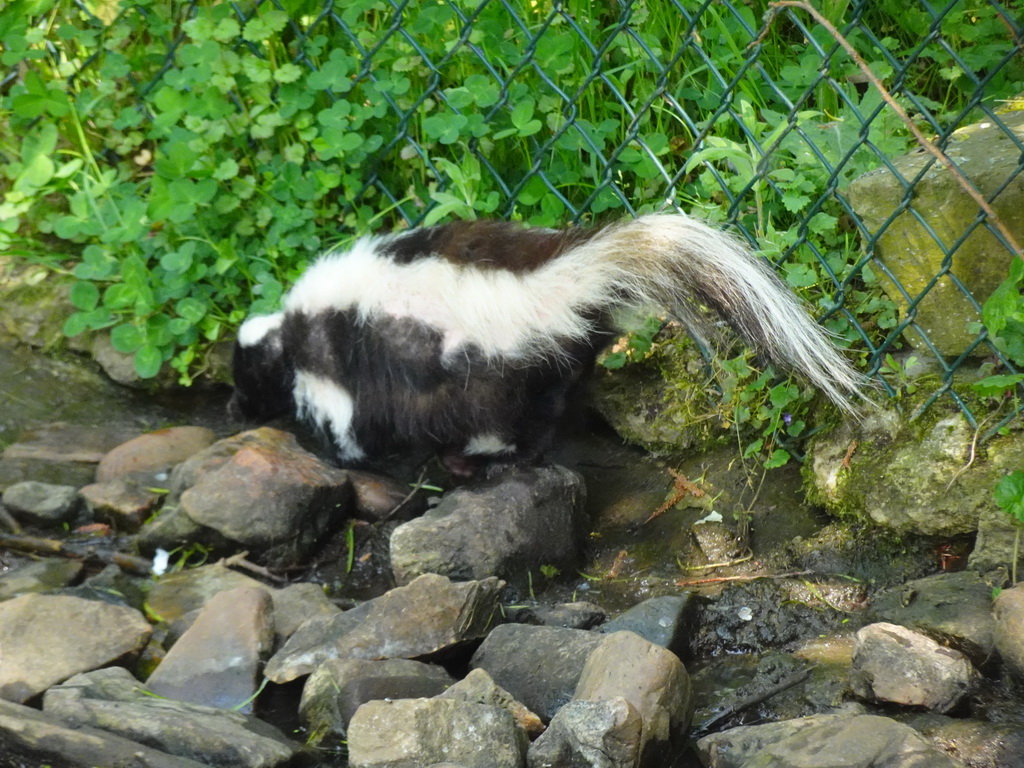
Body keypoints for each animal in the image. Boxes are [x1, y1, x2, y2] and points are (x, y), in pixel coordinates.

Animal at [230, 211, 864, 475]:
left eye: (246, 376)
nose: (237, 409)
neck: (289, 330)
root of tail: (561, 275)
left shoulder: (339, 355)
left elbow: (346, 417)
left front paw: (341, 452)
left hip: (487, 365)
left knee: (517, 420)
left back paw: (484, 460)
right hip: (556, 352)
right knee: (558, 397)